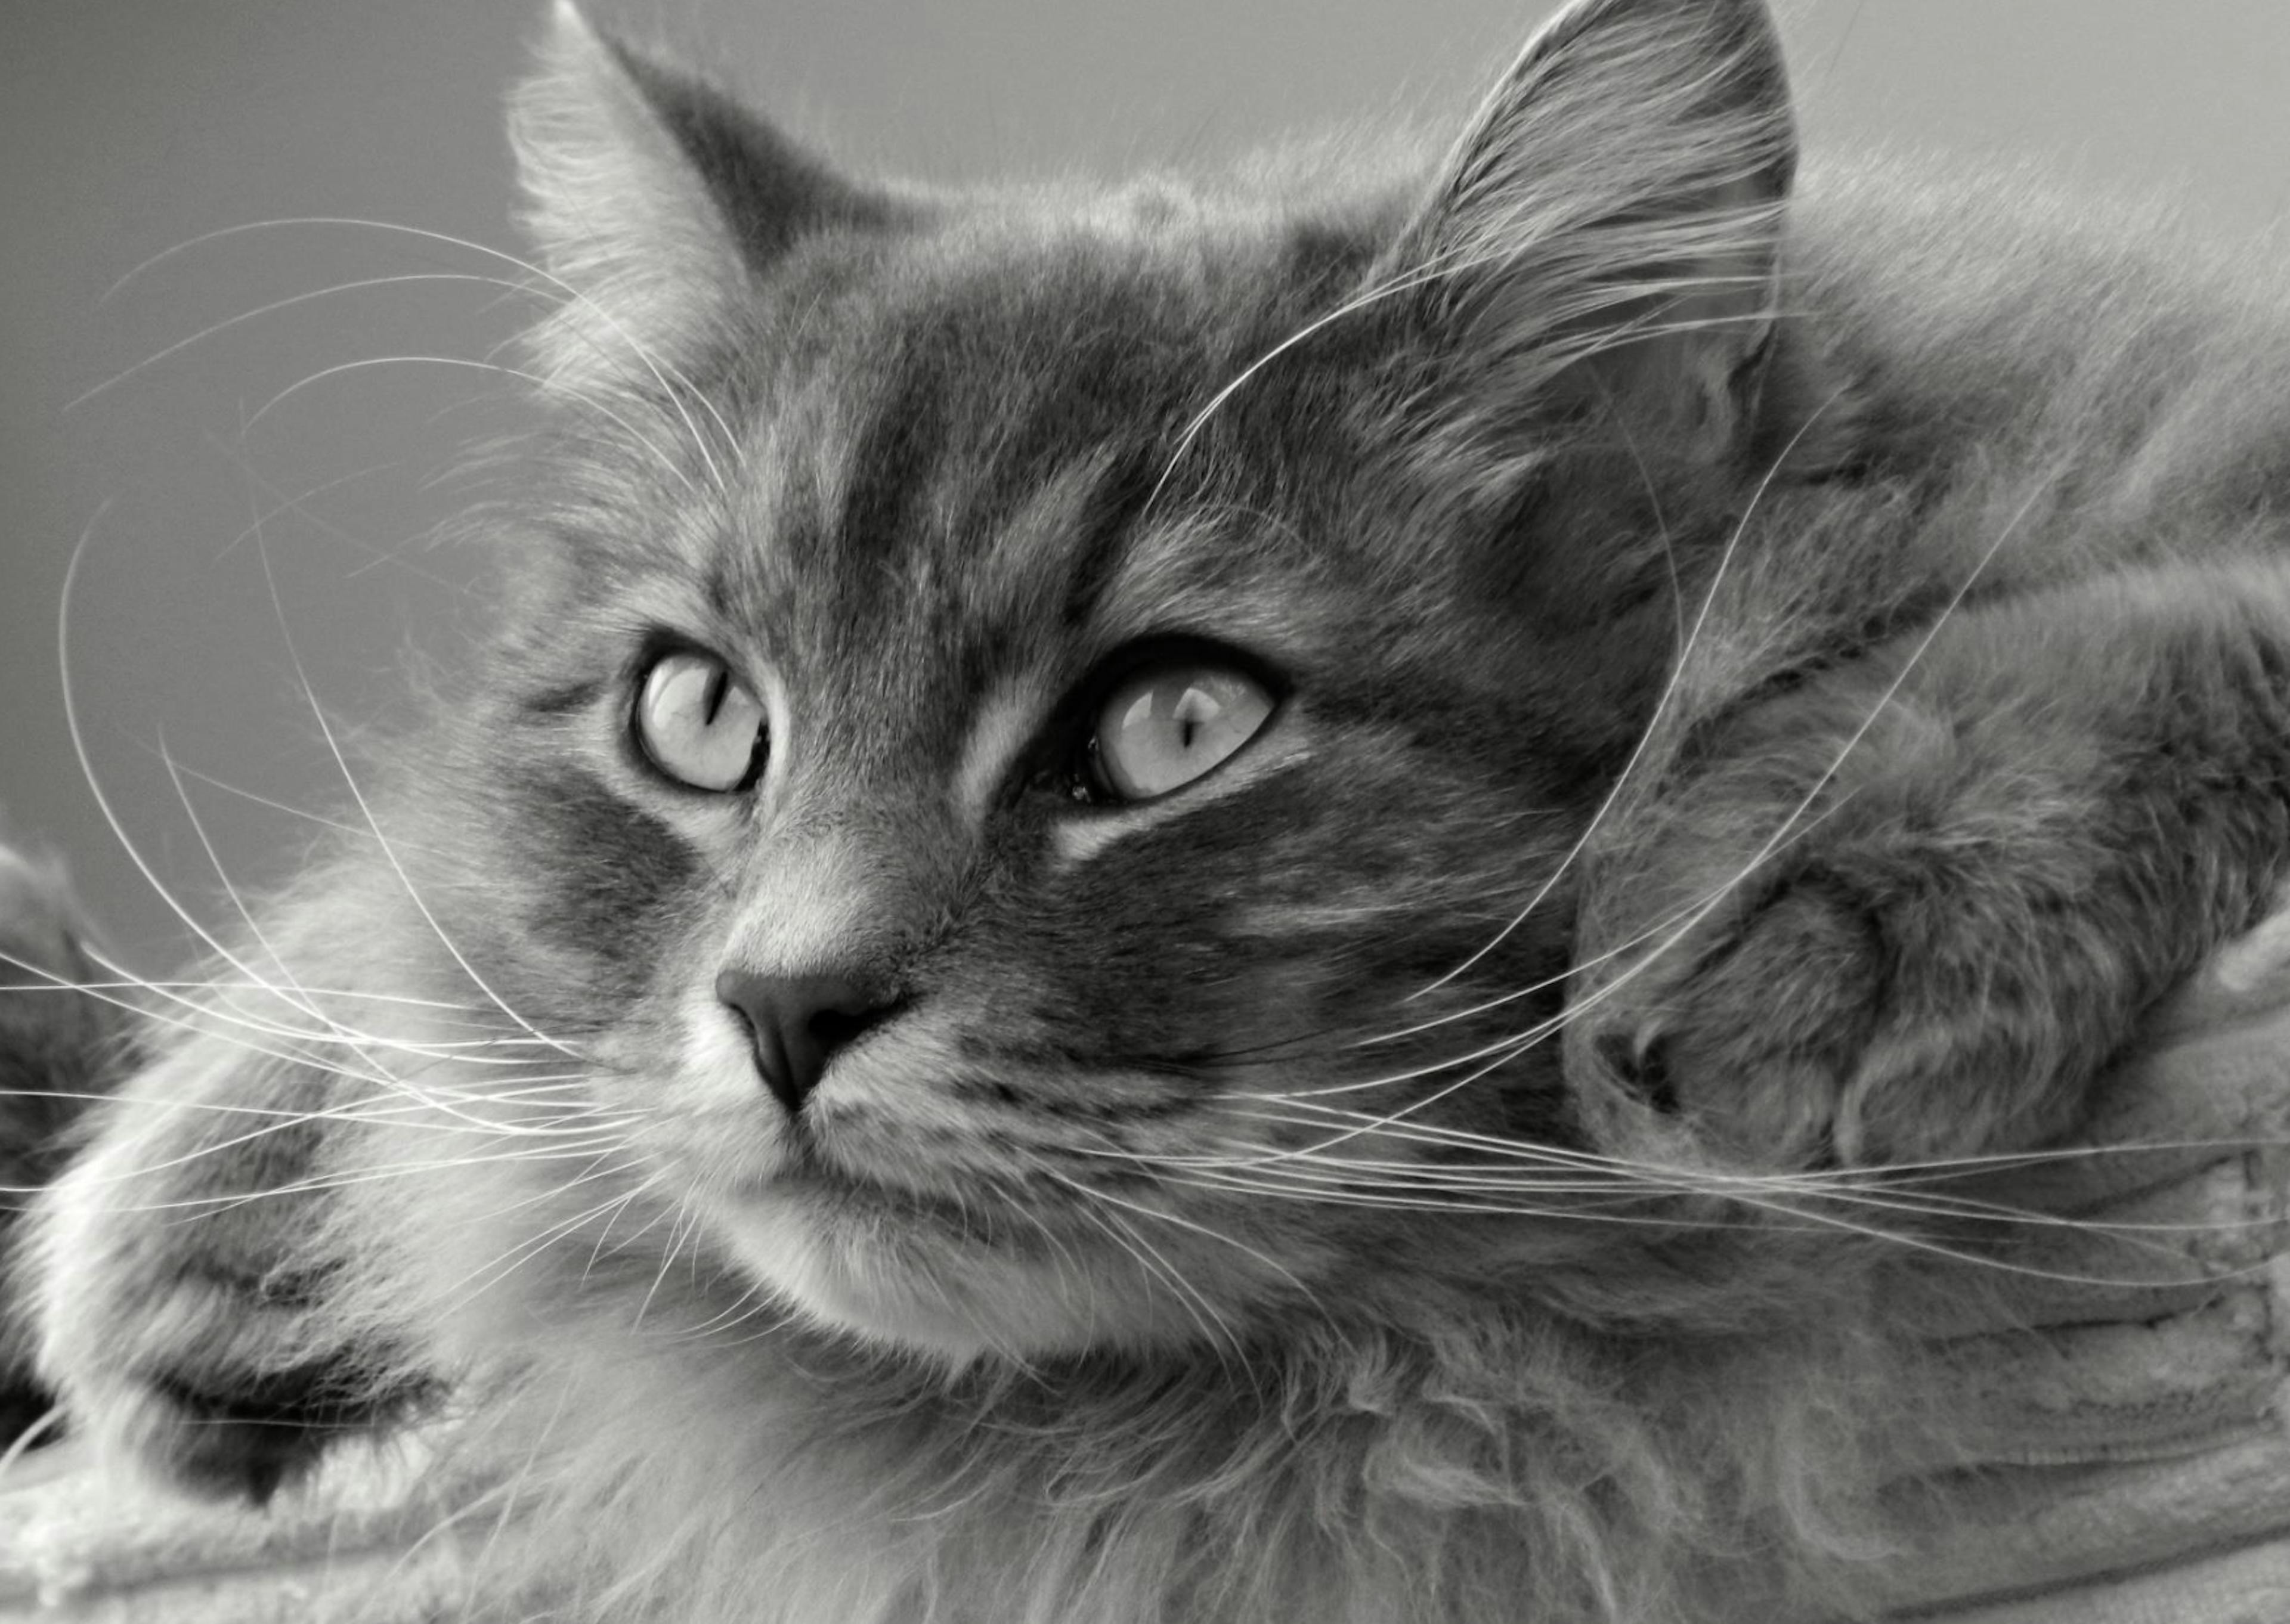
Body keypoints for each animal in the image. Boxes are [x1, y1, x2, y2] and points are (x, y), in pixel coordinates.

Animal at [13, 0, 2290, 1612]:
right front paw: (233, 1204)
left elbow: (2190, 627)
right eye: (701, 717)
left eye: (1176, 725)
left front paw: (1830, 892)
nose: (782, 1010)